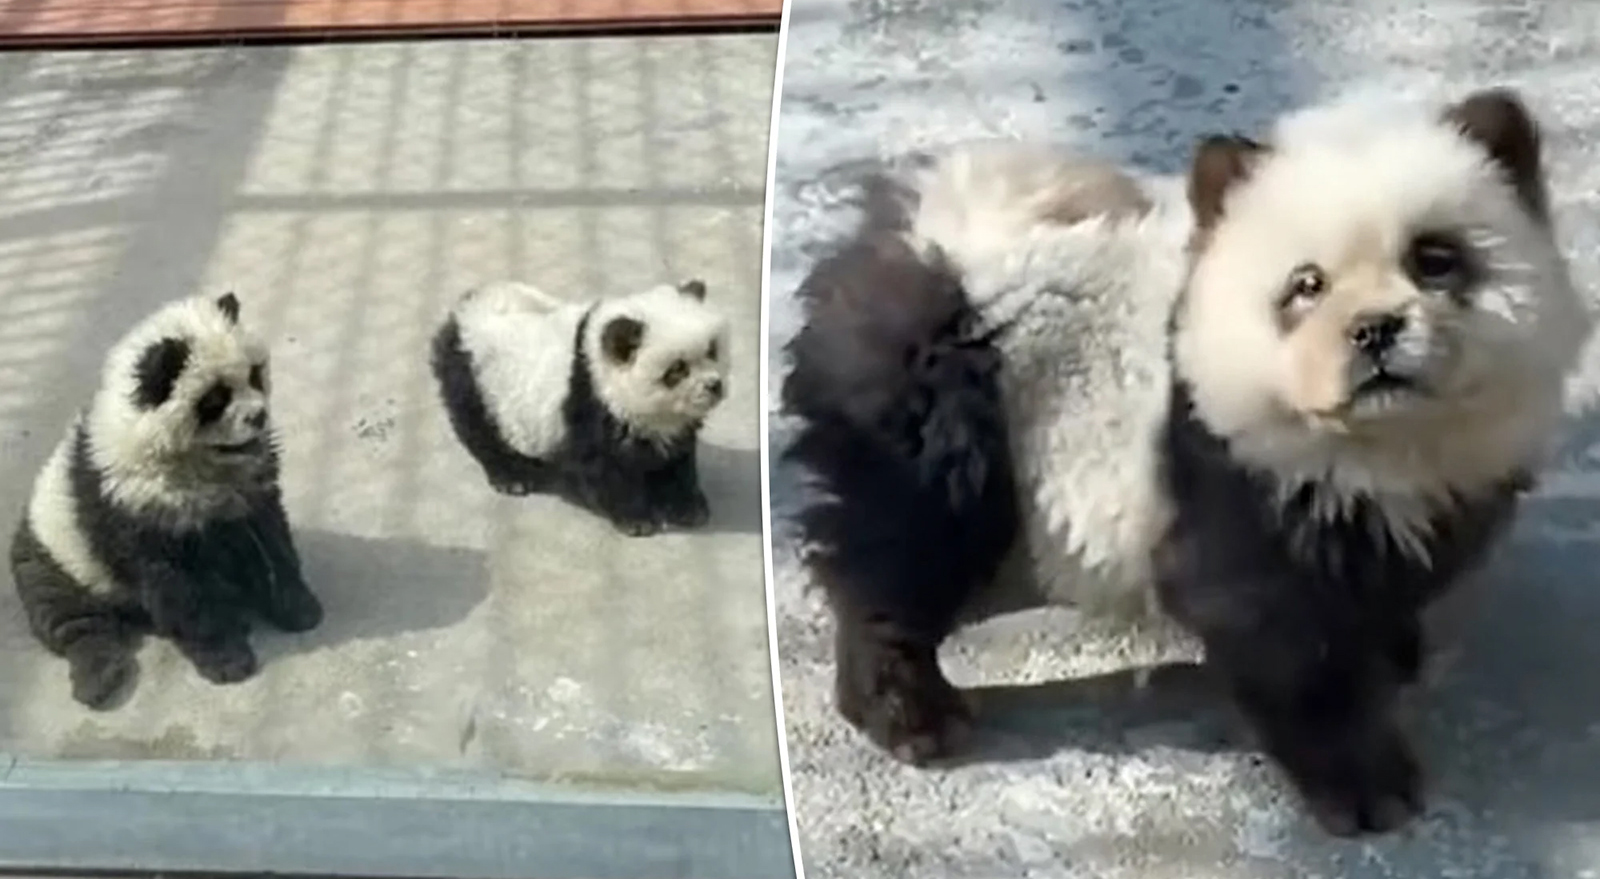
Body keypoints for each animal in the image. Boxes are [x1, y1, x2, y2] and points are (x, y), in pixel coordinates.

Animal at [9, 292, 324, 711]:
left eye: (255, 374)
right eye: (215, 399)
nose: (258, 417)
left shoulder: (250, 490)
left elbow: (271, 540)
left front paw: (299, 607)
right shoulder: (131, 506)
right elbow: (177, 588)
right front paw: (227, 660)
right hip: (56, 558)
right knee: (70, 619)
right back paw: (99, 678)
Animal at [430, 278, 731, 536]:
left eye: (712, 350)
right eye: (677, 369)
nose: (714, 386)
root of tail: (461, 312)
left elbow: (677, 459)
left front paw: (688, 508)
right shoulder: (590, 406)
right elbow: (603, 466)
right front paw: (637, 520)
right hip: (475, 379)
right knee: (480, 430)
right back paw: (510, 477)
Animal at [779, 87, 1593, 837]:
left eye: (1435, 258)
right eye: (1306, 284)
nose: (1375, 330)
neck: (1379, 442)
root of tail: (924, 238)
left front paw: (1394, 649)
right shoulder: (1233, 488)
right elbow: (1292, 648)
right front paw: (1367, 785)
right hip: (943, 424)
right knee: (900, 560)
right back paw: (910, 714)